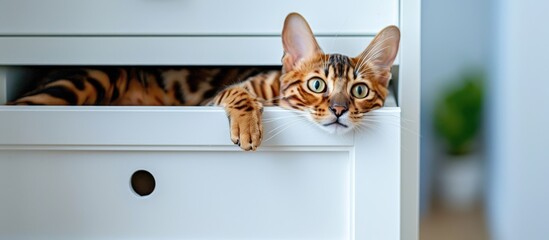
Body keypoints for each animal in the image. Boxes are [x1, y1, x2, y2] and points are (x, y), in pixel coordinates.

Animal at [7, 12, 398, 150]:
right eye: (317, 85)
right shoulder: (221, 94)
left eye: (359, 90)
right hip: (94, 76)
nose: (339, 110)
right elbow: (238, 94)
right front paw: (248, 126)